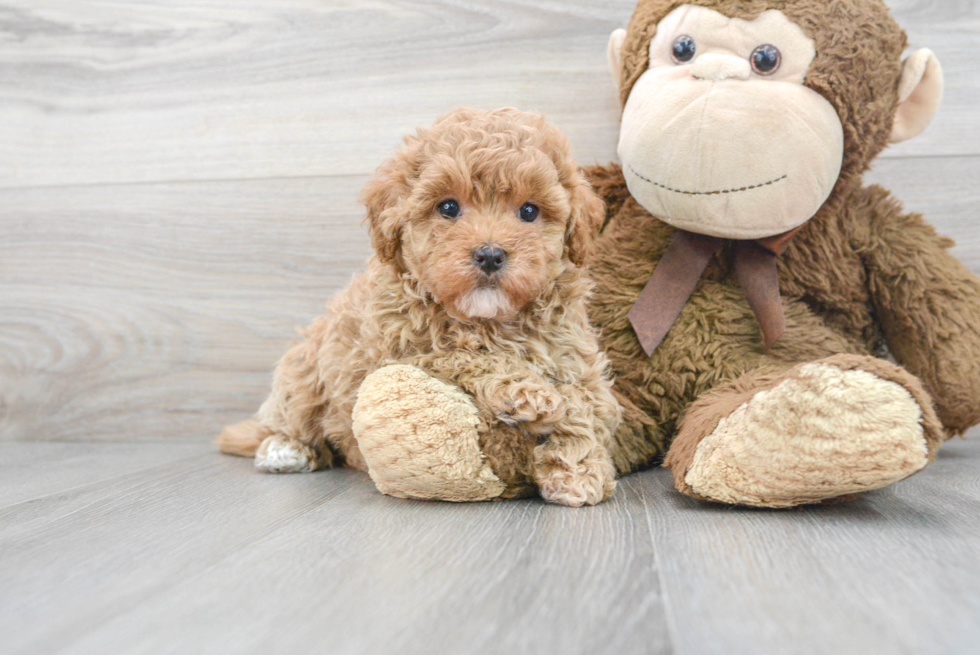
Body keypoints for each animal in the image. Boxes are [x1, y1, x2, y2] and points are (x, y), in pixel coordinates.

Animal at [220, 106, 620, 508]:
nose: (490, 255)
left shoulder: (575, 358)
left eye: (529, 211)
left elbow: (583, 407)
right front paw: (527, 393)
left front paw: (577, 472)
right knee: (291, 418)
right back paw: (285, 449)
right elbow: (470, 356)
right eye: (448, 207)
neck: (488, 320)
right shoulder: (408, 351)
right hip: (304, 371)